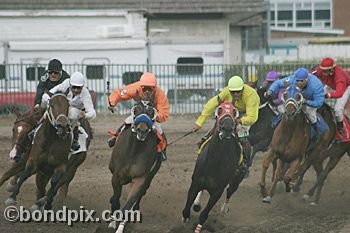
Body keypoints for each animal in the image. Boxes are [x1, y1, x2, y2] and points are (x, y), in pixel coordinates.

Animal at [108, 94, 161, 233]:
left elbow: (129, 204)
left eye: (151, 112)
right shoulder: (116, 176)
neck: (134, 150)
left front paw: (120, 228)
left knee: (139, 196)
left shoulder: (140, 178)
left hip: (150, 177)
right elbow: (116, 199)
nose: (142, 130)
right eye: (136, 109)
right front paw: (112, 223)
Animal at [182, 98, 242, 233]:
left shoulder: (217, 191)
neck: (215, 161)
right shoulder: (196, 182)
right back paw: (197, 204)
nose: (227, 128)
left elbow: (203, 215)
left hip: (237, 178)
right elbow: (186, 209)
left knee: (230, 190)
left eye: (234, 111)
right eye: (219, 109)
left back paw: (224, 209)